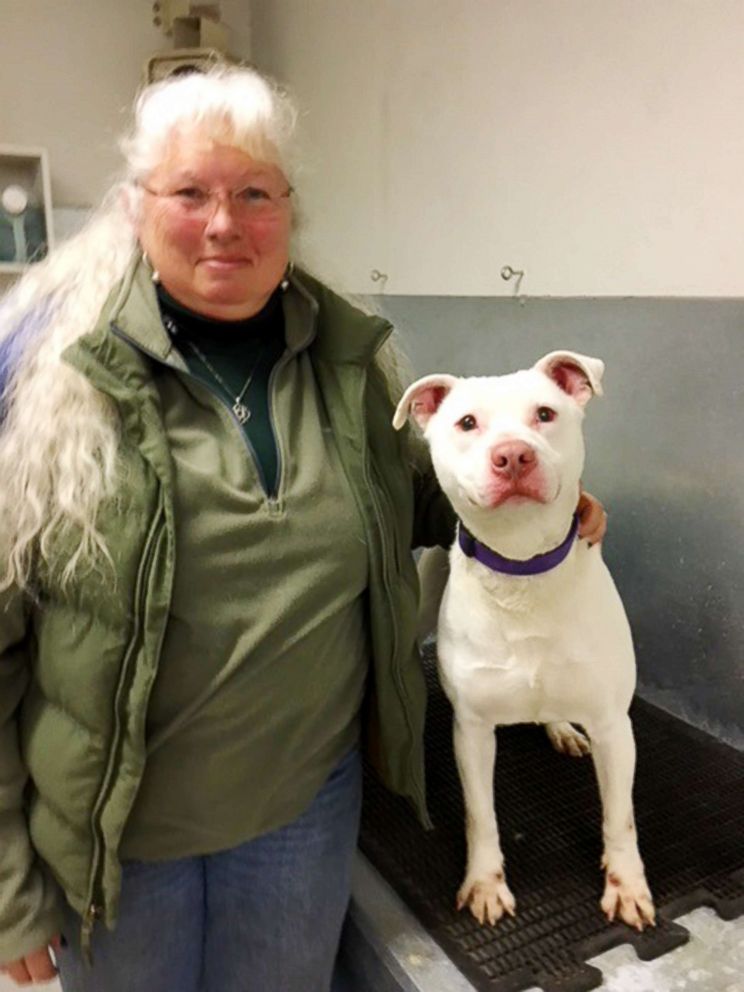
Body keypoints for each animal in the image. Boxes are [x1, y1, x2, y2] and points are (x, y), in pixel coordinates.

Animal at [392, 352, 652, 932]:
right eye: (467, 423)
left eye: (545, 414)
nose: (513, 455)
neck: (522, 567)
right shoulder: (472, 730)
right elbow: (480, 815)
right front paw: (485, 884)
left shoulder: (613, 726)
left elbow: (620, 816)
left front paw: (626, 883)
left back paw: (560, 728)